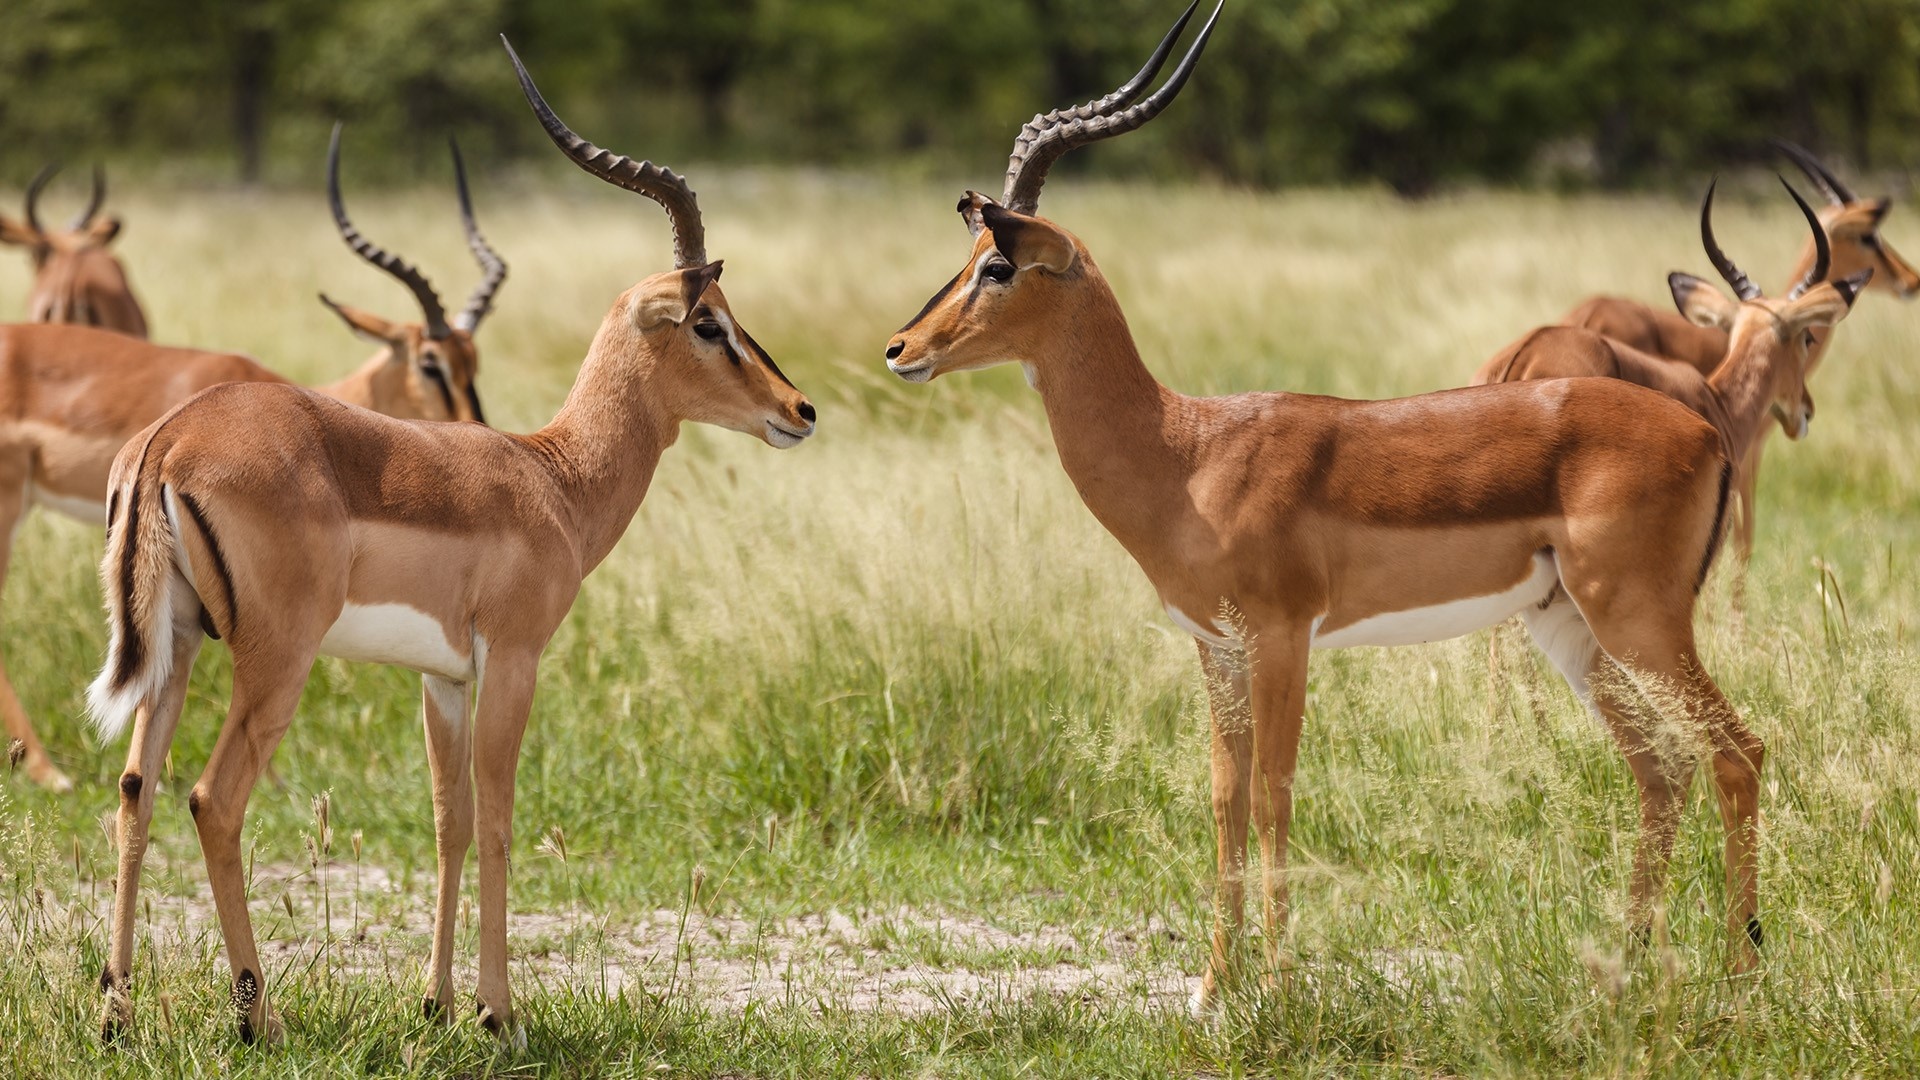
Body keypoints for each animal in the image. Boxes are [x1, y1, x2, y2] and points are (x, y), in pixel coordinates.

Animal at [91, 42, 810, 1045]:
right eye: (711, 323)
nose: (800, 410)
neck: (552, 477)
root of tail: (169, 439)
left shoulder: (443, 679)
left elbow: (449, 822)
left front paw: (433, 1003)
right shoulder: (513, 660)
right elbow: (502, 817)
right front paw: (498, 1013)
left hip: (176, 647)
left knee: (136, 789)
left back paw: (117, 1012)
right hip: (275, 662)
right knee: (213, 799)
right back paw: (259, 1017)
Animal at [890, 0, 1789, 1006]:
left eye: (997, 267)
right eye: (967, 257)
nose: (900, 347)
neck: (1186, 452)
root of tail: (1707, 433)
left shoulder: (1284, 639)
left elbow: (1275, 792)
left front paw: (1278, 985)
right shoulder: (1216, 650)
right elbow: (1224, 799)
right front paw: (1213, 987)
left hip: (1641, 620)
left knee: (1738, 751)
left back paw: (1740, 973)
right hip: (1571, 628)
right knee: (1661, 768)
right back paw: (1625, 969)